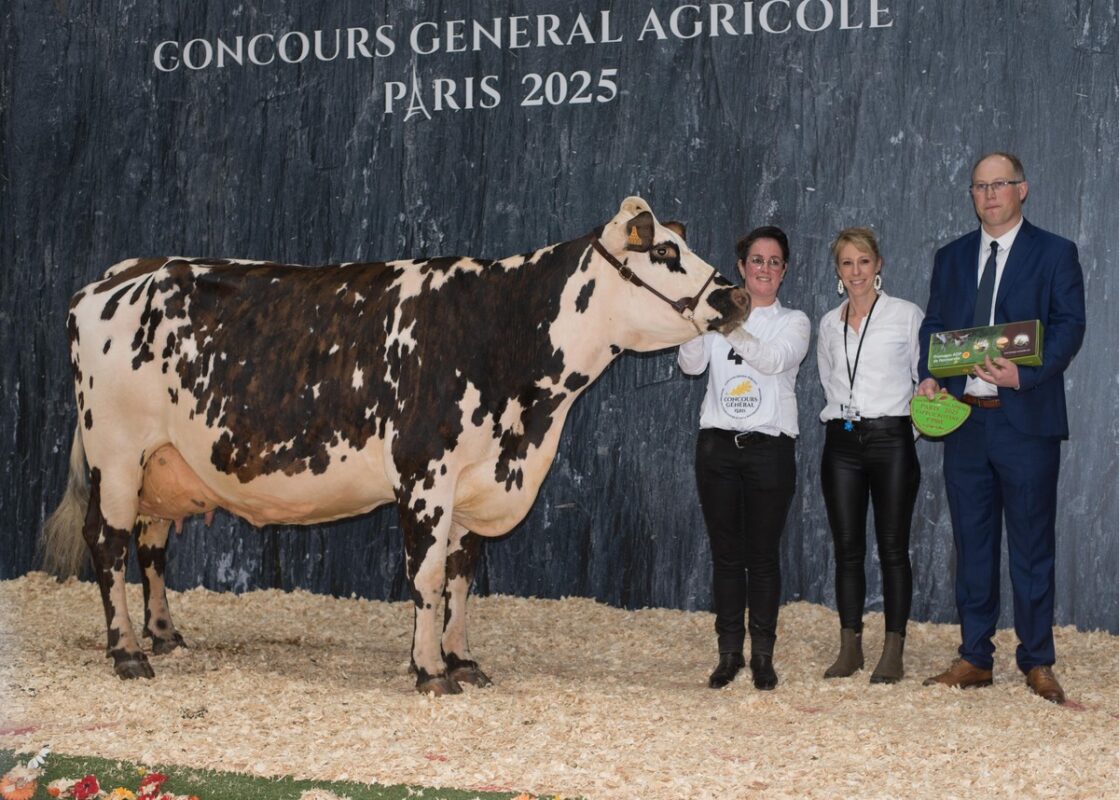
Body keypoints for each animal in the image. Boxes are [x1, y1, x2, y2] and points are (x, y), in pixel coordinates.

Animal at [41, 195, 751, 693]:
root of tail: (123, 273)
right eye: (665, 254)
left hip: (163, 463)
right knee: (108, 544)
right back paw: (128, 653)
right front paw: (428, 670)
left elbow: (462, 577)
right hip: (115, 453)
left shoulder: (472, 481)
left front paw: (463, 661)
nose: (738, 293)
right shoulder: (425, 474)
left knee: (152, 544)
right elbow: (427, 576)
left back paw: (165, 635)